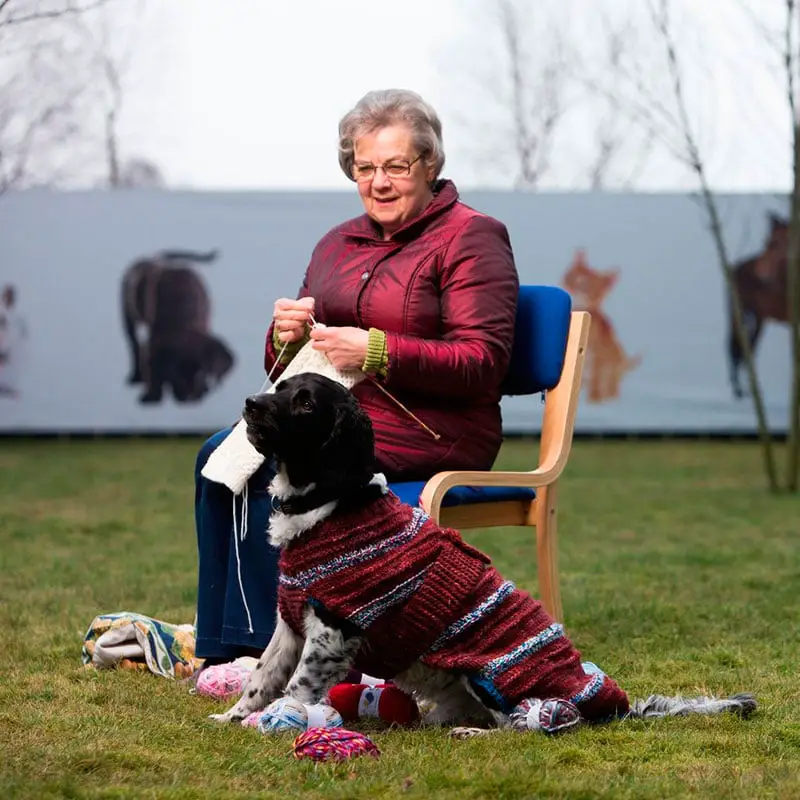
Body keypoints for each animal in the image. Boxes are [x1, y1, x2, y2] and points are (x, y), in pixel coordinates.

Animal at [209, 376, 760, 736]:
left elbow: (297, 689)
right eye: (281, 385)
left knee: (527, 726)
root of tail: (611, 704)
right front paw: (233, 718)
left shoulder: (332, 629)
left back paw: (473, 733)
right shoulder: (291, 623)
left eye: (305, 403)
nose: (250, 403)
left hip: (491, 673)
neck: (328, 505)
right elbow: (261, 678)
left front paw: (273, 727)